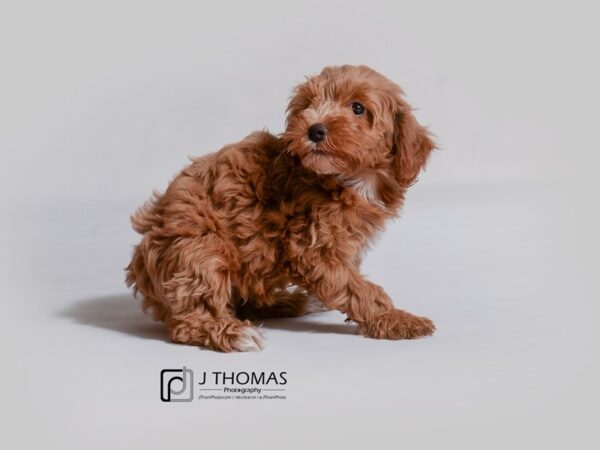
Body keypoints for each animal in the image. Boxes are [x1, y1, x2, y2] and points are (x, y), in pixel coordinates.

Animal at [125, 65, 436, 352]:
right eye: (307, 106)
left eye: (358, 108)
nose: (314, 130)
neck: (350, 177)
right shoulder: (312, 247)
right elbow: (357, 288)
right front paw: (396, 319)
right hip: (200, 249)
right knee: (189, 318)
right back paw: (234, 332)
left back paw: (291, 301)